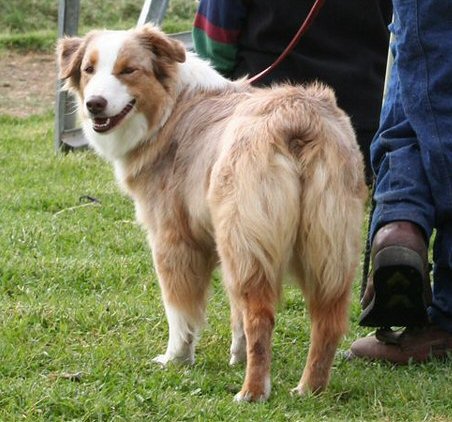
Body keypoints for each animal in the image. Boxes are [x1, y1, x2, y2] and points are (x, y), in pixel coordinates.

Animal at [56, 23, 368, 402]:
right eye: (88, 69)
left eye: (129, 70)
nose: (94, 105)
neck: (171, 106)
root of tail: (297, 118)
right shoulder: (222, 238)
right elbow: (235, 311)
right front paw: (237, 354)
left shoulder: (173, 239)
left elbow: (180, 310)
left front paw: (176, 358)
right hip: (326, 245)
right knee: (328, 318)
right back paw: (310, 389)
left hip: (248, 238)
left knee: (261, 315)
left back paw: (252, 392)